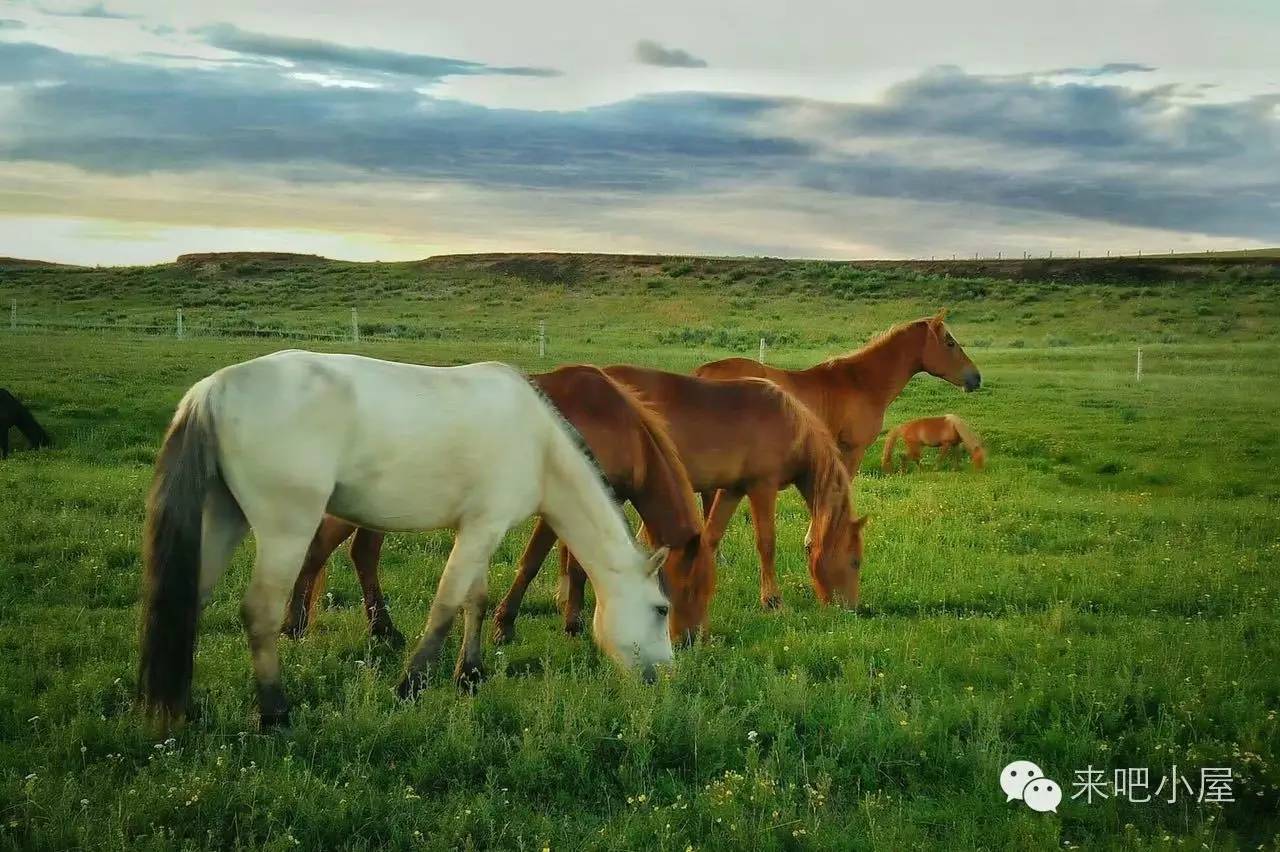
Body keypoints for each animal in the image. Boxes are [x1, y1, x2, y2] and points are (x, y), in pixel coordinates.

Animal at [285, 360, 706, 644]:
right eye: (686, 591)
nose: (688, 640)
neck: (617, 424)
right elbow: (534, 563)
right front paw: (506, 626)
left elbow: (577, 567)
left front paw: (571, 623)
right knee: (320, 550)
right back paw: (295, 625)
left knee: (362, 554)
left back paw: (382, 631)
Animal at [545, 365, 865, 624]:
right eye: (855, 561)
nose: (851, 609)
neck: (786, 421)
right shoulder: (762, 487)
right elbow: (766, 543)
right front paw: (772, 601)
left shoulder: (733, 489)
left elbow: (712, 536)